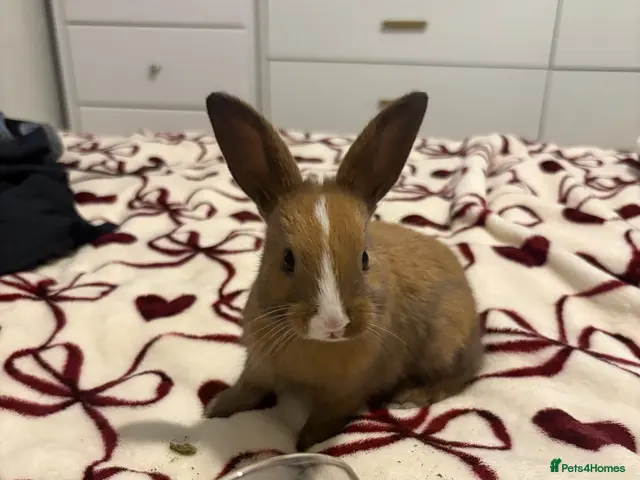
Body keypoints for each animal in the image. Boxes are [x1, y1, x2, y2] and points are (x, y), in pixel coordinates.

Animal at [203, 90, 483, 452]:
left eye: (364, 258)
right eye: (287, 259)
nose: (334, 323)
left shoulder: (347, 392)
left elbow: (326, 417)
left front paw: (303, 444)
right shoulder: (257, 366)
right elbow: (247, 389)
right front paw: (215, 409)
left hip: (445, 340)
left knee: (461, 376)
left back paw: (409, 396)